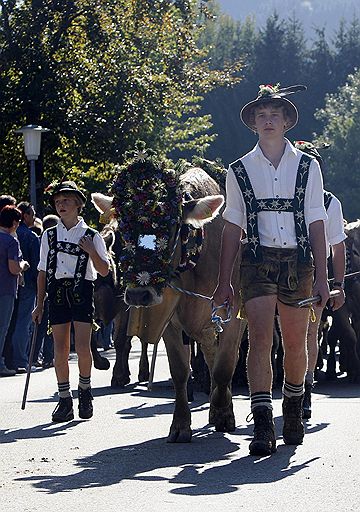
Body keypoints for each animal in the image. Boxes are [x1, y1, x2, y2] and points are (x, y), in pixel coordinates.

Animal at [91, 146, 246, 442]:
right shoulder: (170, 322)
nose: (138, 295)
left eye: (172, 226)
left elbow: (225, 366)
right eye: (123, 230)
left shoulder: (233, 316)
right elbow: (180, 371)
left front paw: (224, 416)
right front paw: (180, 425)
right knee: (208, 353)